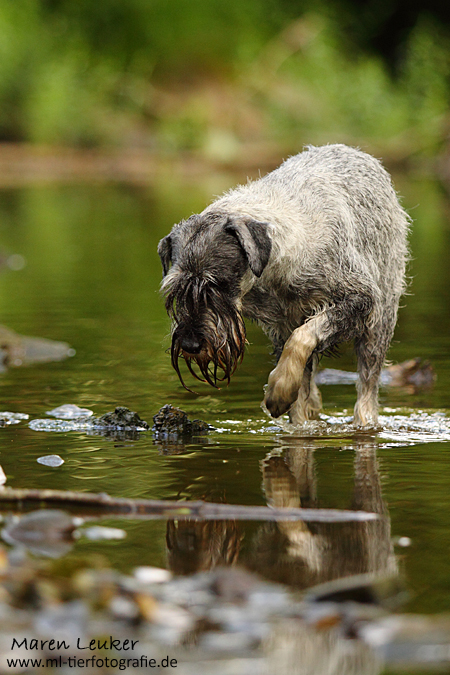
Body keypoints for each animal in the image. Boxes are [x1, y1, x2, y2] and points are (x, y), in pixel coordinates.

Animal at [156, 145, 410, 426]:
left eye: (217, 285)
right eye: (177, 290)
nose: (190, 345)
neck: (275, 273)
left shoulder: (359, 300)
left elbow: (302, 337)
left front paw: (279, 390)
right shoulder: (280, 328)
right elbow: (298, 399)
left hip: (379, 324)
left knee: (367, 389)